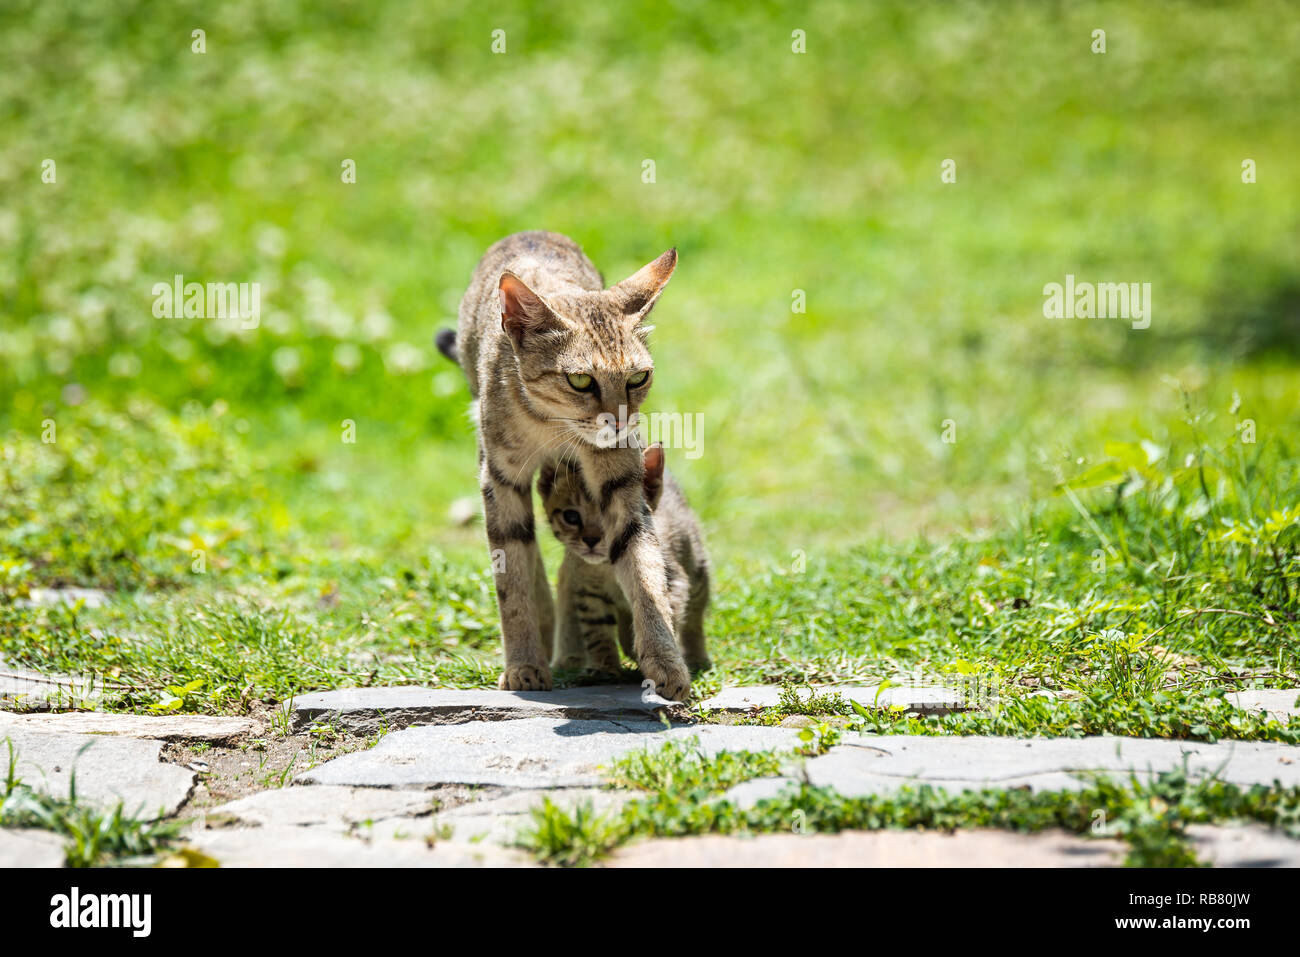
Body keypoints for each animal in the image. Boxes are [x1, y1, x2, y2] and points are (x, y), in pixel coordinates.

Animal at [441, 228, 696, 696]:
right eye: (580, 380)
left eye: (638, 378)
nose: (620, 420)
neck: (553, 427)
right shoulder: (499, 479)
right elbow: (513, 580)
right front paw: (524, 664)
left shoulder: (620, 482)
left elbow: (644, 567)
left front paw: (665, 660)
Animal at [543, 444, 717, 676]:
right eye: (571, 517)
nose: (591, 540)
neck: (609, 569)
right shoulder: (589, 593)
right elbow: (597, 633)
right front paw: (605, 667)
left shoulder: (673, 580)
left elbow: (665, 615)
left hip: (697, 571)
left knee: (694, 618)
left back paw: (697, 656)